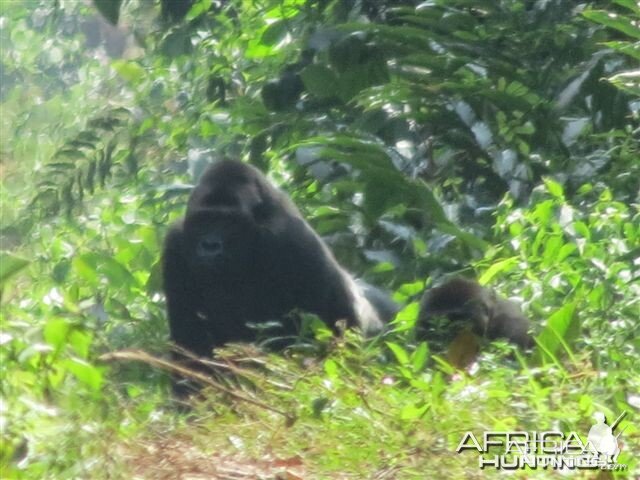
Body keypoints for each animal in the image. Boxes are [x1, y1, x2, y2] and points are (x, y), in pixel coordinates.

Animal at [161, 159, 390, 358]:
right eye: (203, 220)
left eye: (228, 222)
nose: (210, 246)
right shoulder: (174, 242)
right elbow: (188, 336)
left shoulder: (295, 239)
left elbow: (338, 321)